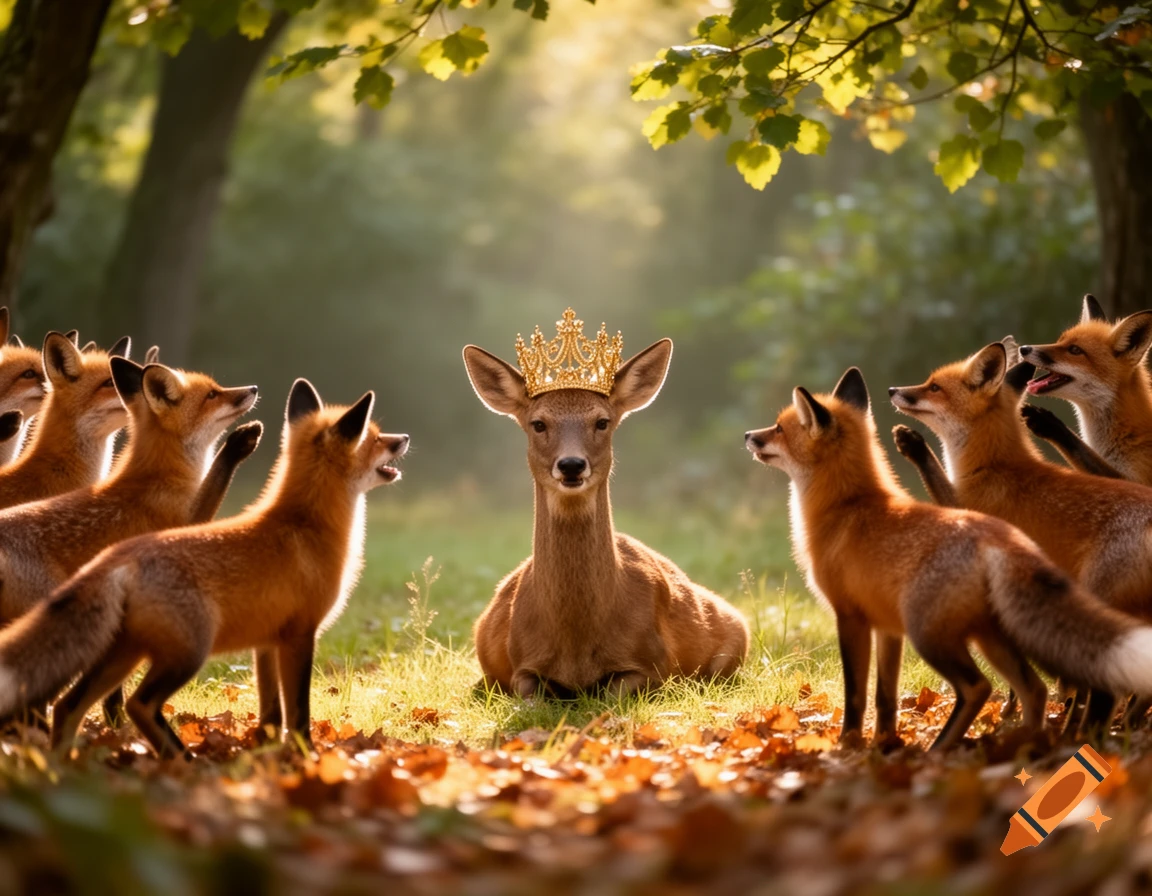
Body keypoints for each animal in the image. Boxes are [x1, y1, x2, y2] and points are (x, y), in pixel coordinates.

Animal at [0, 380, 408, 758]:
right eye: (375, 438)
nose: (403, 438)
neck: (305, 525)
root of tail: (118, 556)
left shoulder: (267, 641)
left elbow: (271, 716)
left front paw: (263, 756)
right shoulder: (300, 635)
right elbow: (298, 716)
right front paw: (304, 759)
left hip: (123, 653)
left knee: (68, 706)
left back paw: (65, 767)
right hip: (189, 652)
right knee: (137, 704)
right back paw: (183, 760)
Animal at [462, 312, 748, 698]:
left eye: (602, 421)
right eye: (538, 423)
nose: (571, 465)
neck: (576, 645)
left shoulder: (652, 664)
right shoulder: (522, 664)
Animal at [746, 367, 1152, 750]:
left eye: (778, 429)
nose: (749, 434)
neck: (846, 506)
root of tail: (1000, 536)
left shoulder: (850, 617)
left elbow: (856, 697)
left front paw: (849, 745)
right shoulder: (888, 627)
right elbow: (885, 698)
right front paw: (885, 745)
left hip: (931, 635)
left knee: (979, 688)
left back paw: (942, 750)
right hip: (989, 635)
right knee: (1034, 689)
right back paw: (1023, 745)